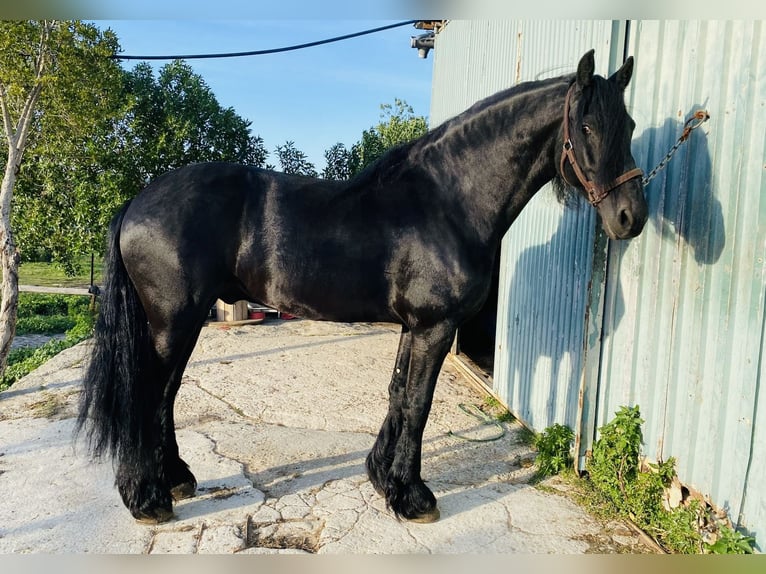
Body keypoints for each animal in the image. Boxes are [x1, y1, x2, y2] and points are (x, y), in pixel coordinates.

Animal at [76, 50, 648, 528]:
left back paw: (176, 479)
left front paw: (381, 477)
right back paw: (147, 499)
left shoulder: (415, 326)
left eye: (631, 124)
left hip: (182, 323)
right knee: (147, 394)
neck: (448, 201)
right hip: (174, 321)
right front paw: (413, 497)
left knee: (166, 394)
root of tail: (137, 202)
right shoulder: (436, 327)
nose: (631, 217)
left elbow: (398, 394)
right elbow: (419, 404)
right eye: (588, 125)